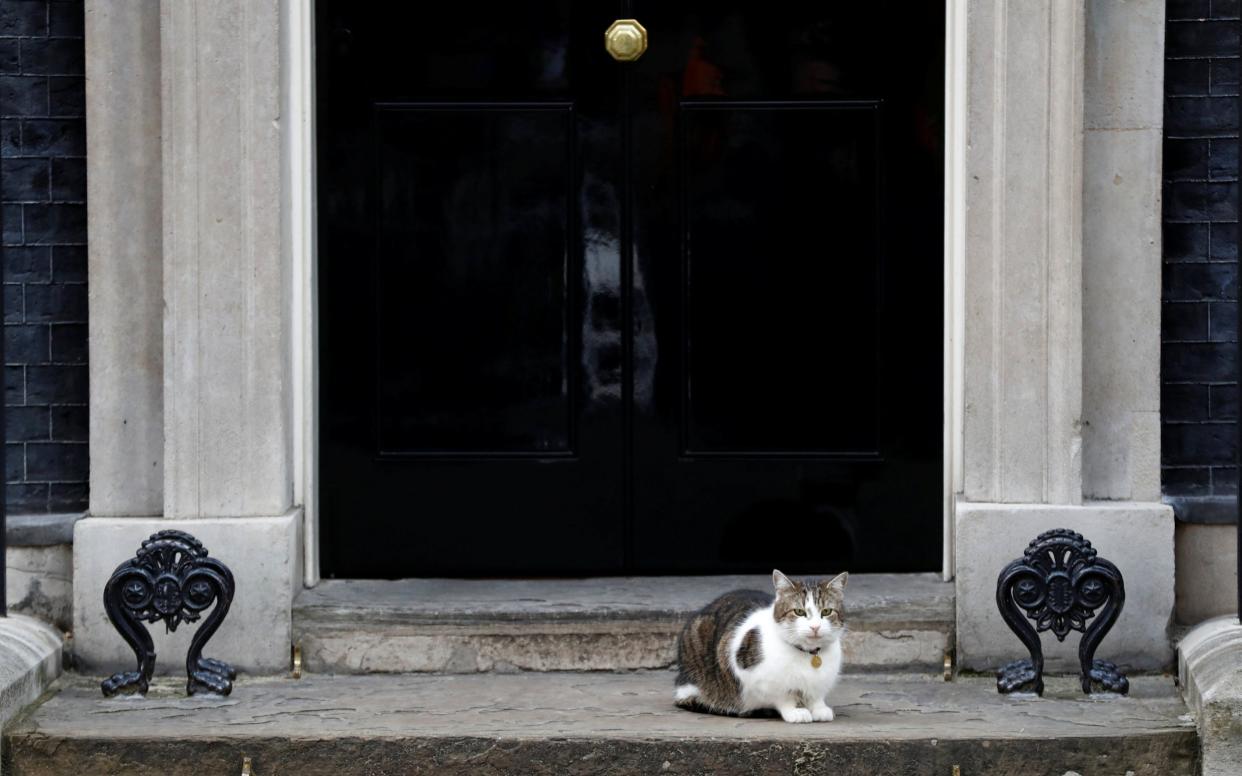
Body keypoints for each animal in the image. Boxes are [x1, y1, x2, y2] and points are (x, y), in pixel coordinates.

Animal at [675, 568, 849, 720]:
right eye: (799, 612)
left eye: (826, 611)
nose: (815, 627)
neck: (809, 654)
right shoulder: (753, 676)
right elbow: (783, 697)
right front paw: (795, 711)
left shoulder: (821, 682)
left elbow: (816, 696)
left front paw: (819, 708)